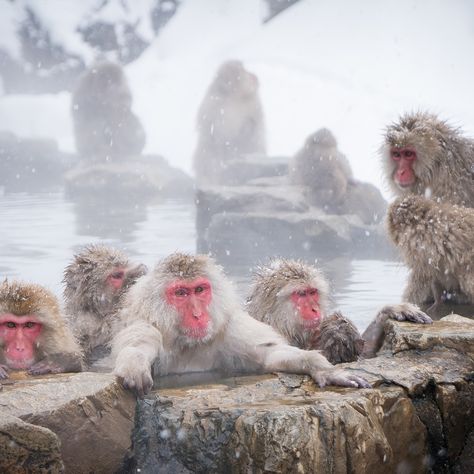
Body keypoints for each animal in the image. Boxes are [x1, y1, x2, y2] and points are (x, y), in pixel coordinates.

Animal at [112, 252, 370, 396]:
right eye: (181, 293)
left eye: (200, 290)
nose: (197, 314)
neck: (187, 344)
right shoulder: (144, 325)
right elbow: (137, 345)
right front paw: (135, 364)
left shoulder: (230, 330)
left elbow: (270, 354)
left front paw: (323, 367)